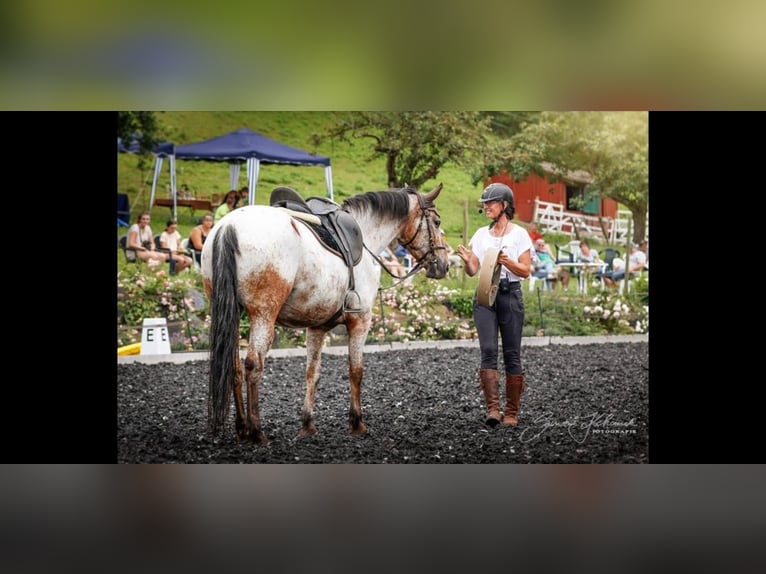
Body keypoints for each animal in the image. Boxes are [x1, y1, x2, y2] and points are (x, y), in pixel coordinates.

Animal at [204, 184, 452, 446]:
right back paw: (256, 431)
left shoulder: (316, 327)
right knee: (253, 366)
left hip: (232, 317)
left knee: (235, 368)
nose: (443, 264)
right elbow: (356, 371)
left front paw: (308, 424)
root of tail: (229, 226)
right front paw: (357, 423)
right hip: (263, 316)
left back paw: (242, 428)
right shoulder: (360, 321)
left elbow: (312, 373)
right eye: (436, 221)